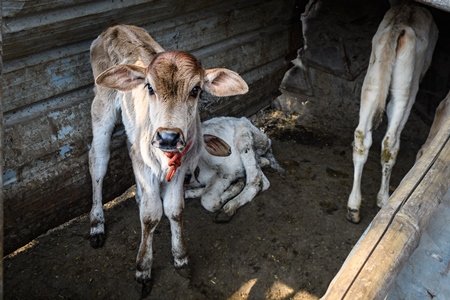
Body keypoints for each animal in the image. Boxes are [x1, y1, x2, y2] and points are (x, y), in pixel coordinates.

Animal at [88, 24, 248, 296]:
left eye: (195, 90)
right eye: (149, 87)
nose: (168, 137)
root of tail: (115, 27)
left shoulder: (180, 168)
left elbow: (175, 209)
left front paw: (181, 258)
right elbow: (151, 215)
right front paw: (143, 269)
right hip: (101, 106)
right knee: (98, 162)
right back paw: (97, 223)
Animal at [346, 2, 438, 223]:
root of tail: (400, 26)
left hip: (371, 82)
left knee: (361, 137)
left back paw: (353, 207)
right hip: (404, 89)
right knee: (390, 142)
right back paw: (384, 198)